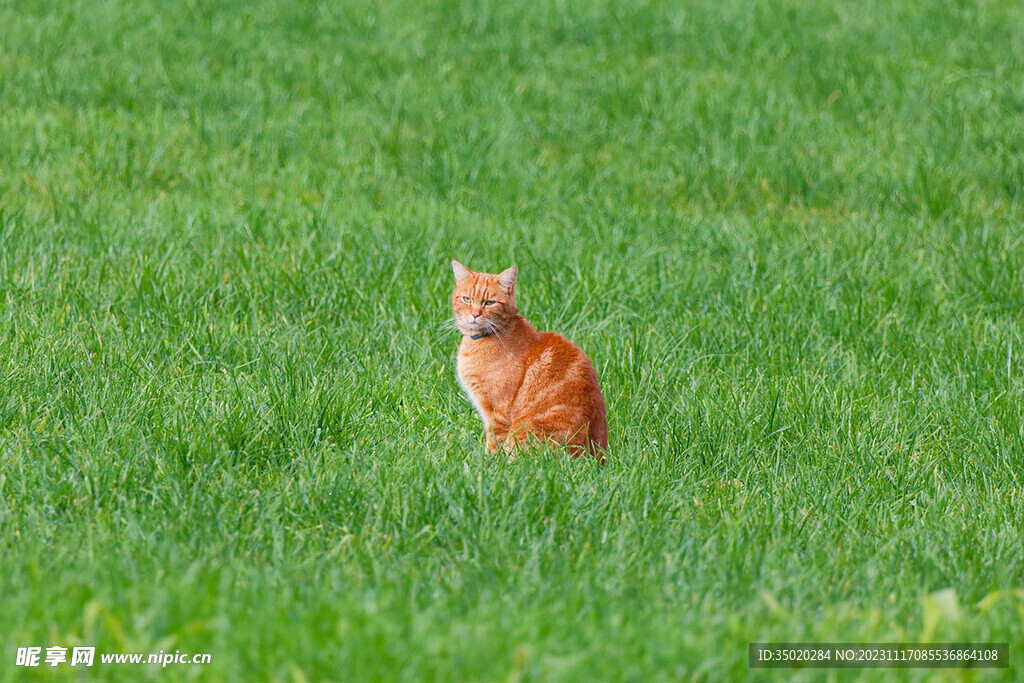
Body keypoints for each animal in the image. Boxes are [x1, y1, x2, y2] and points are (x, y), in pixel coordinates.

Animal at [450, 259, 606, 462]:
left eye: (489, 302)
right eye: (467, 299)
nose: (475, 315)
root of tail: (593, 458)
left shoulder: (498, 411)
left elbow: (493, 442)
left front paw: (488, 462)